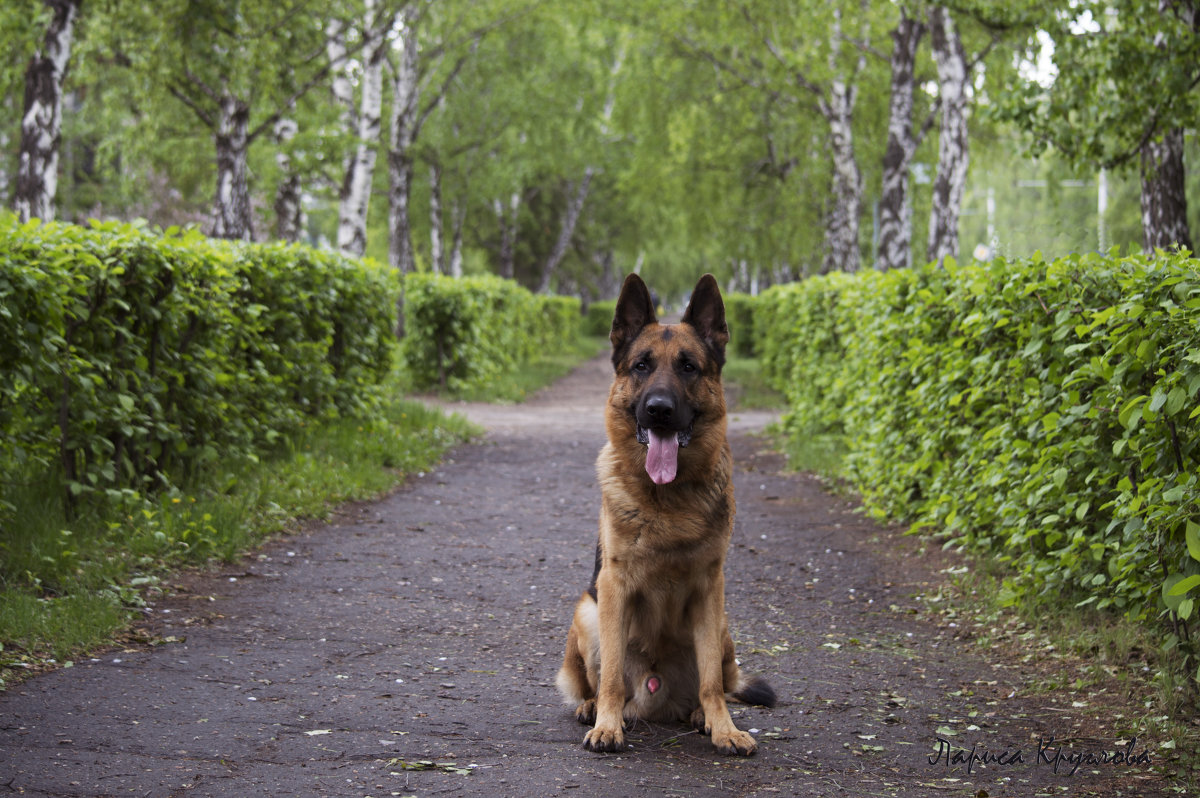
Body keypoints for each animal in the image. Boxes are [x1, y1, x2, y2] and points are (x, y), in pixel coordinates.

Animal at [554, 272, 772, 753]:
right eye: (641, 366)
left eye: (689, 367)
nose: (659, 410)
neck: (666, 499)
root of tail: (656, 700)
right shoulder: (613, 586)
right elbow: (612, 677)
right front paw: (608, 726)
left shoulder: (710, 589)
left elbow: (711, 681)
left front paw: (724, 728)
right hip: (587, 612)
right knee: (602, 681)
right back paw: (595, 709)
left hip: (722, 624)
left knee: (717, 681)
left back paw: (701, 715)